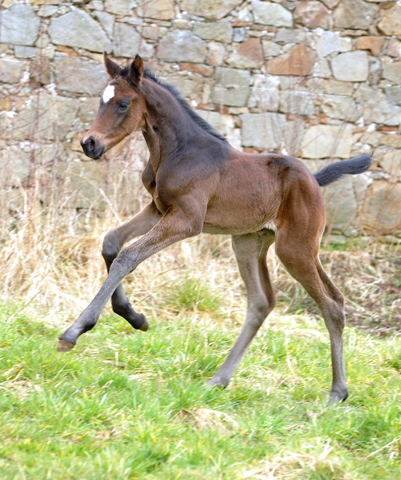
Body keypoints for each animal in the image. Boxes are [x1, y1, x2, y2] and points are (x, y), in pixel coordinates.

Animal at [57, 54, 370, 404]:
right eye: (102, 100)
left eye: (123, 103)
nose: (89, 143)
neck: (178, 150)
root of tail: (314, 180)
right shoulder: (159, 209)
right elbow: (111, 242)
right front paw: (135, 317)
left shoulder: (187, 220)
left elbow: (128, 256)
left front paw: (76, 330)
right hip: (249, 243)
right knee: (263, 302)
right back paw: (219, 379)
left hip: (295, 248)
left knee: (331, 305)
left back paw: (337, 392)